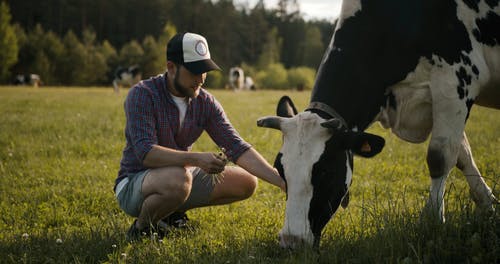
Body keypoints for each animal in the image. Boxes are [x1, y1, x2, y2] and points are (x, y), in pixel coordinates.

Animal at [256, 0, 498, 250]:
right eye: (280, 169)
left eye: (324, 171)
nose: (292, 240)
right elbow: (462, 154)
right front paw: (487, 206)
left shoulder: (454, 81)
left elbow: (440, 156)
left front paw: (433, 222)